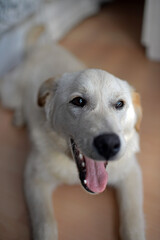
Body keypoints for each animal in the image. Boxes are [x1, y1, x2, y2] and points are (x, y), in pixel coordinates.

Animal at [0, 43, 145, 240]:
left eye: (119, 104)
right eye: (79, 101)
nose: (108, 144)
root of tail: (45, 45)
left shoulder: (131, 173)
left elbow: (133, 222)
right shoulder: (34, 178)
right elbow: (46, 224)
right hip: (8, 95)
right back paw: (20, 117)